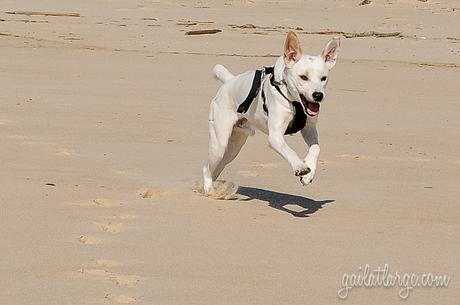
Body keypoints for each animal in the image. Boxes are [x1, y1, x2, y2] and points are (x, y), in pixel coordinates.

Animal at [203, 31, 340, 195]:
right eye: (303, 77)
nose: (318, 95)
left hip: (234, 147)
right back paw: (209, 189)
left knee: (219, 166)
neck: (295, 103)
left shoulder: (309, 128)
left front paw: (309, 173)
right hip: (219, 144)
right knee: (206, 167)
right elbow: (289, 150)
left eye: (323, 78)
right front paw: (300, 166)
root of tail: (229, 81)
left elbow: (316, 148)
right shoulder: (275, 136)